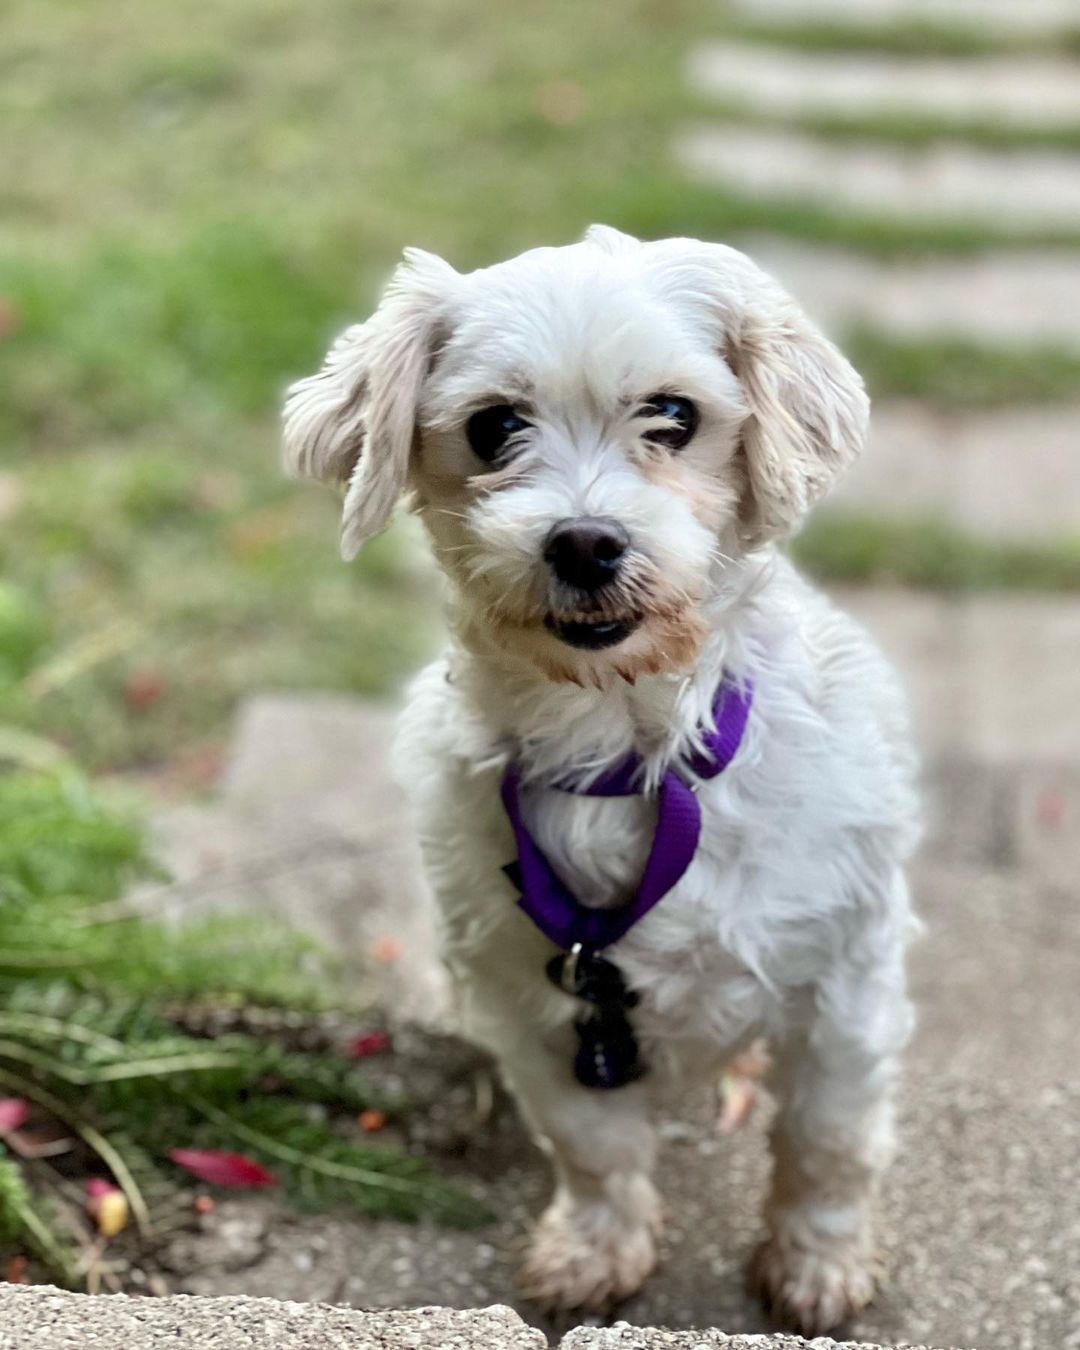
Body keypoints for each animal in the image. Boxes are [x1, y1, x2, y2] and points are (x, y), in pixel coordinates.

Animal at [280, 226, 918, 1333]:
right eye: (494, 427)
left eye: (673, 415)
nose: (583, 541)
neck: (625, 753)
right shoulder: (537, 1007)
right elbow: (594, 1145)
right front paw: (597, 1247)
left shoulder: (844, 976)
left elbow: (827, 1141)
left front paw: (818, 1260)